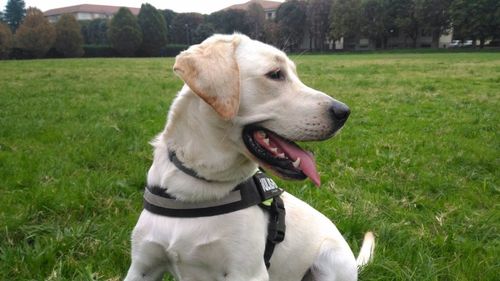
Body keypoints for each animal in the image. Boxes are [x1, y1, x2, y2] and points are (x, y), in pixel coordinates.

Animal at [125, 33, 376, 280]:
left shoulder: (247, 272)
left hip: (330, 260)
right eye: (275, 74)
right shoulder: (142, 267)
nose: (344, 112)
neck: (198, 184)